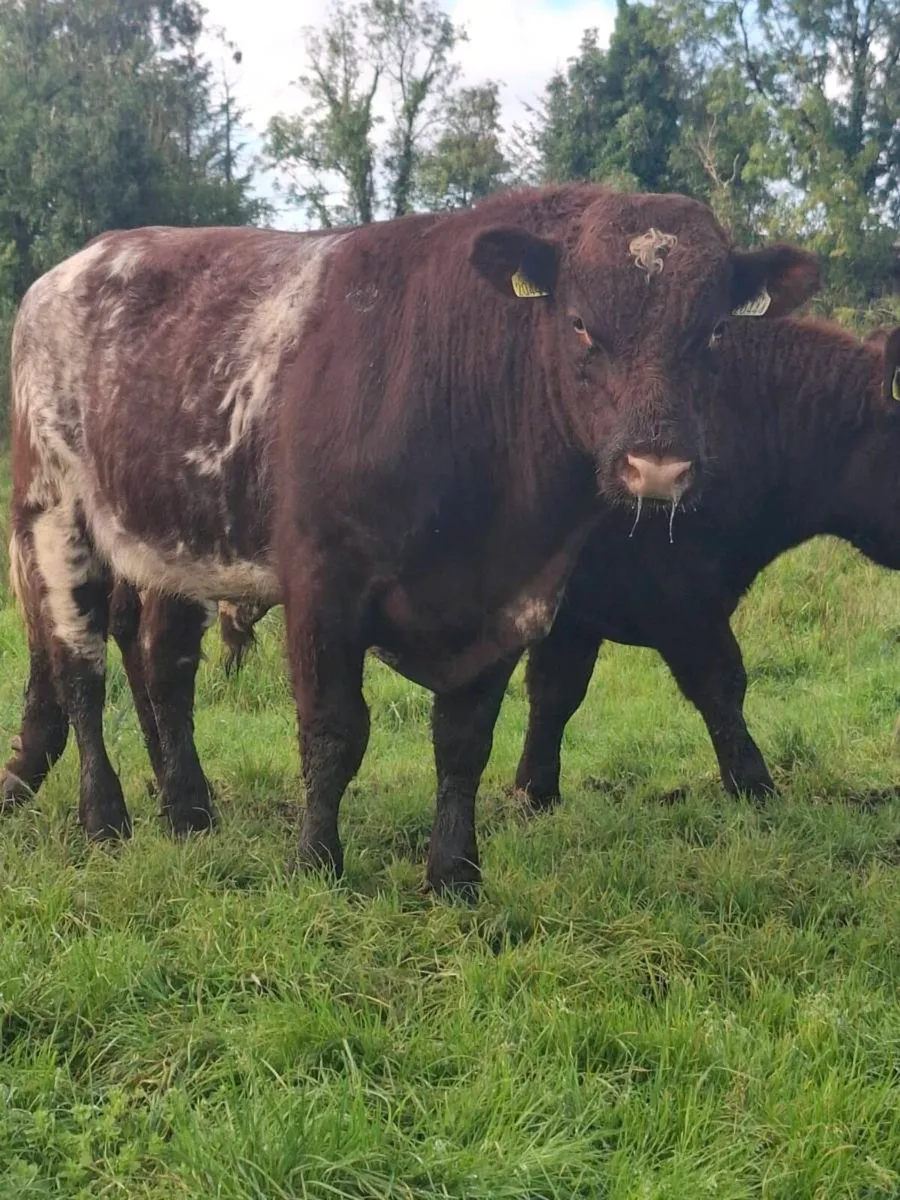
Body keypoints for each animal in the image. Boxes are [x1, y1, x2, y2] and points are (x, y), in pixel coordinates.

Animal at [3, 184, 818, 893]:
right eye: (582, 322)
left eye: (716, 329)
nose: (657, 466)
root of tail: (72, 268)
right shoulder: (323, 585)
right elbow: (333, 731)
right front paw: (317, 863)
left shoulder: (510, 598)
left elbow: (464, 741)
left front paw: (455, 874)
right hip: (53, 516)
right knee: (80, 673)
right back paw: (105, 818)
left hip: (173, 547)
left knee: (162, 667)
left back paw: (189, 813)